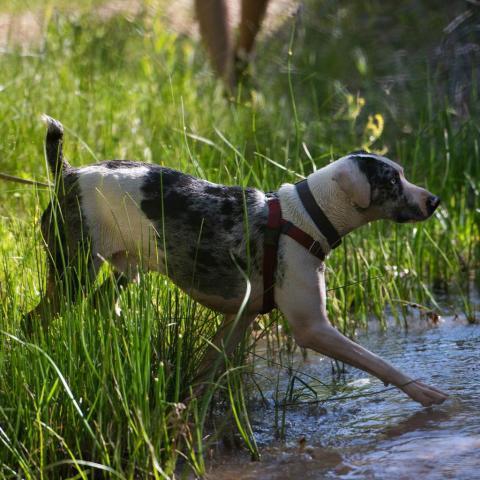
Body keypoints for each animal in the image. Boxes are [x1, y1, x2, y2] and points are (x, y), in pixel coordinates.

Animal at [29, 115, 450, 404]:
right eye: (391, 182)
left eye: (403, 175)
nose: (434, 201)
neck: (304, 216)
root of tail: (68, 175)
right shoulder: (312, 327)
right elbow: (377, 362)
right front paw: (427, 393)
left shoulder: (240, 317)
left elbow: (205, 373)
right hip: (72, 272)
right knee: (34, 320)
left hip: (122, 270)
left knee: (101, 306)